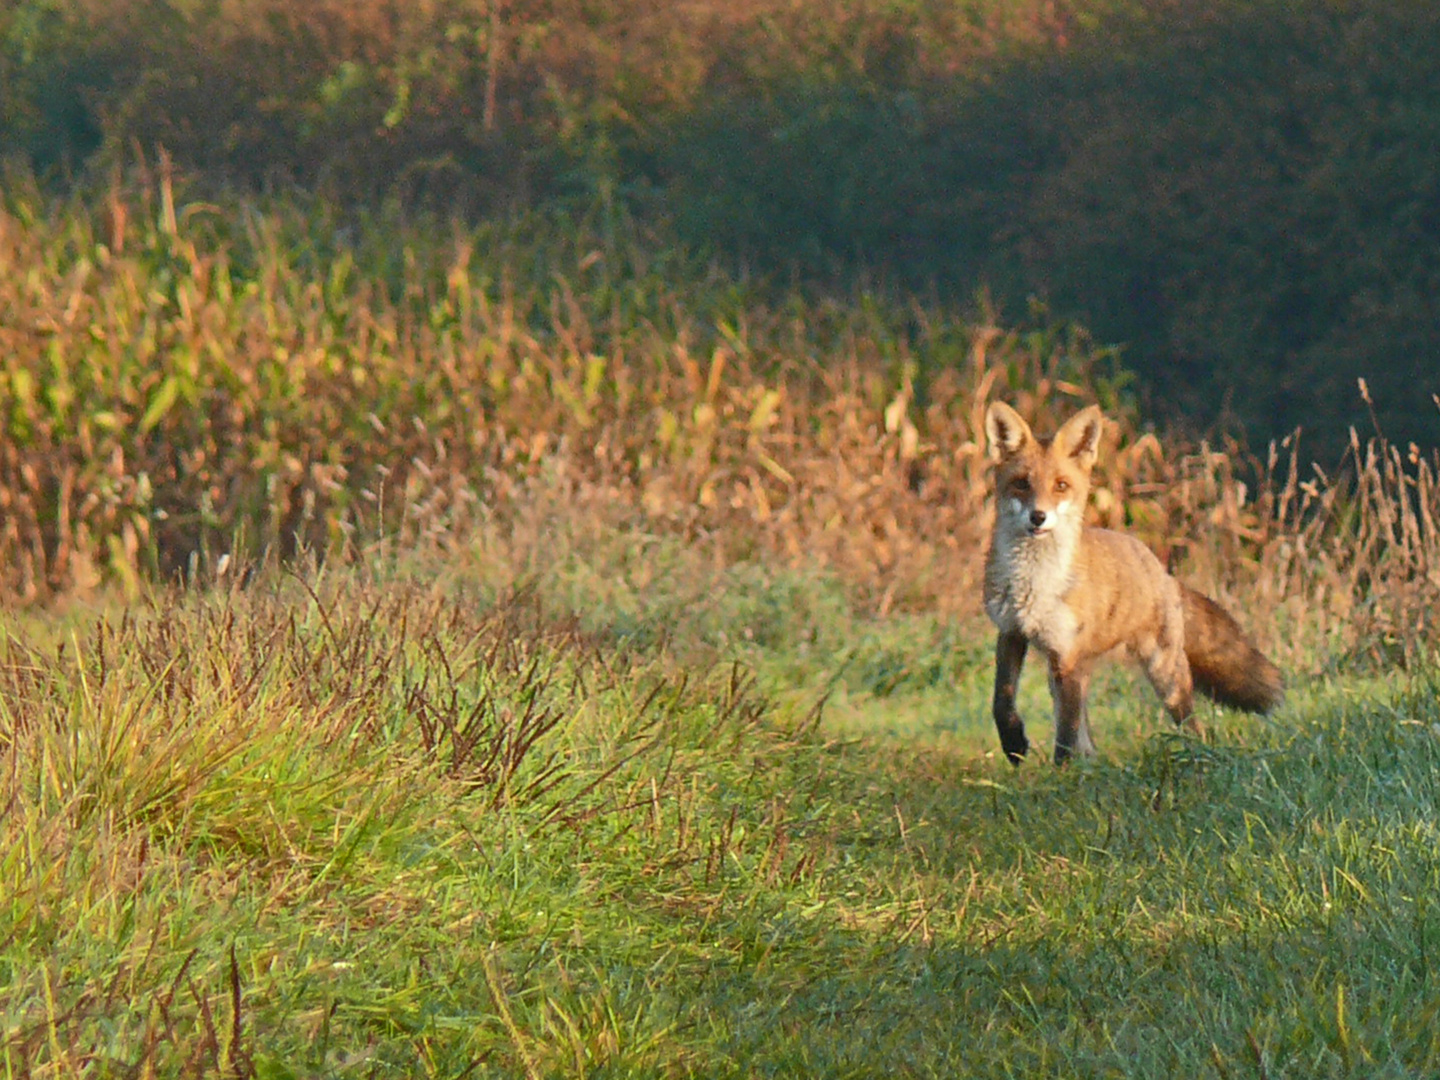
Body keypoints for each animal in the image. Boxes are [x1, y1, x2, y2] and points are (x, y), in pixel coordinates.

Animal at [979, 403, 1284, 766]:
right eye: (1022, 483)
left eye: (1061, 485)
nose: (1038, 517)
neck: (1034, 585)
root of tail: (1163, 572)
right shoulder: (1012, 633)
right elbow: (1002, 701)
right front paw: (1013, 742)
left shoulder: (1066, 653)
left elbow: (1065, 735)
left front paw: (1060, 774)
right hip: (1069, 671)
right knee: (1086, 733)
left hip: (1165, 675)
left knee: (1192, 726)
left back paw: (1196, 754)